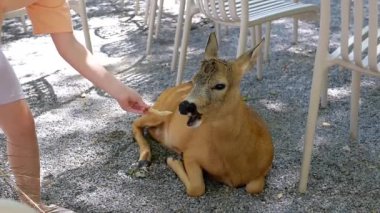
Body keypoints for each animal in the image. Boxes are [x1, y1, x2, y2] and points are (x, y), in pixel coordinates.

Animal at [131, 32, 274, 197]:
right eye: (194, 80)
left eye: (220, 85)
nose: (184, 106)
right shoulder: (191, 153)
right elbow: (196, 188)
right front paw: (173, 160)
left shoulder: (265, 168)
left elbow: (253, 187)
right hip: (160, 111)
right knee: (136, 122)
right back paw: (144, 159)